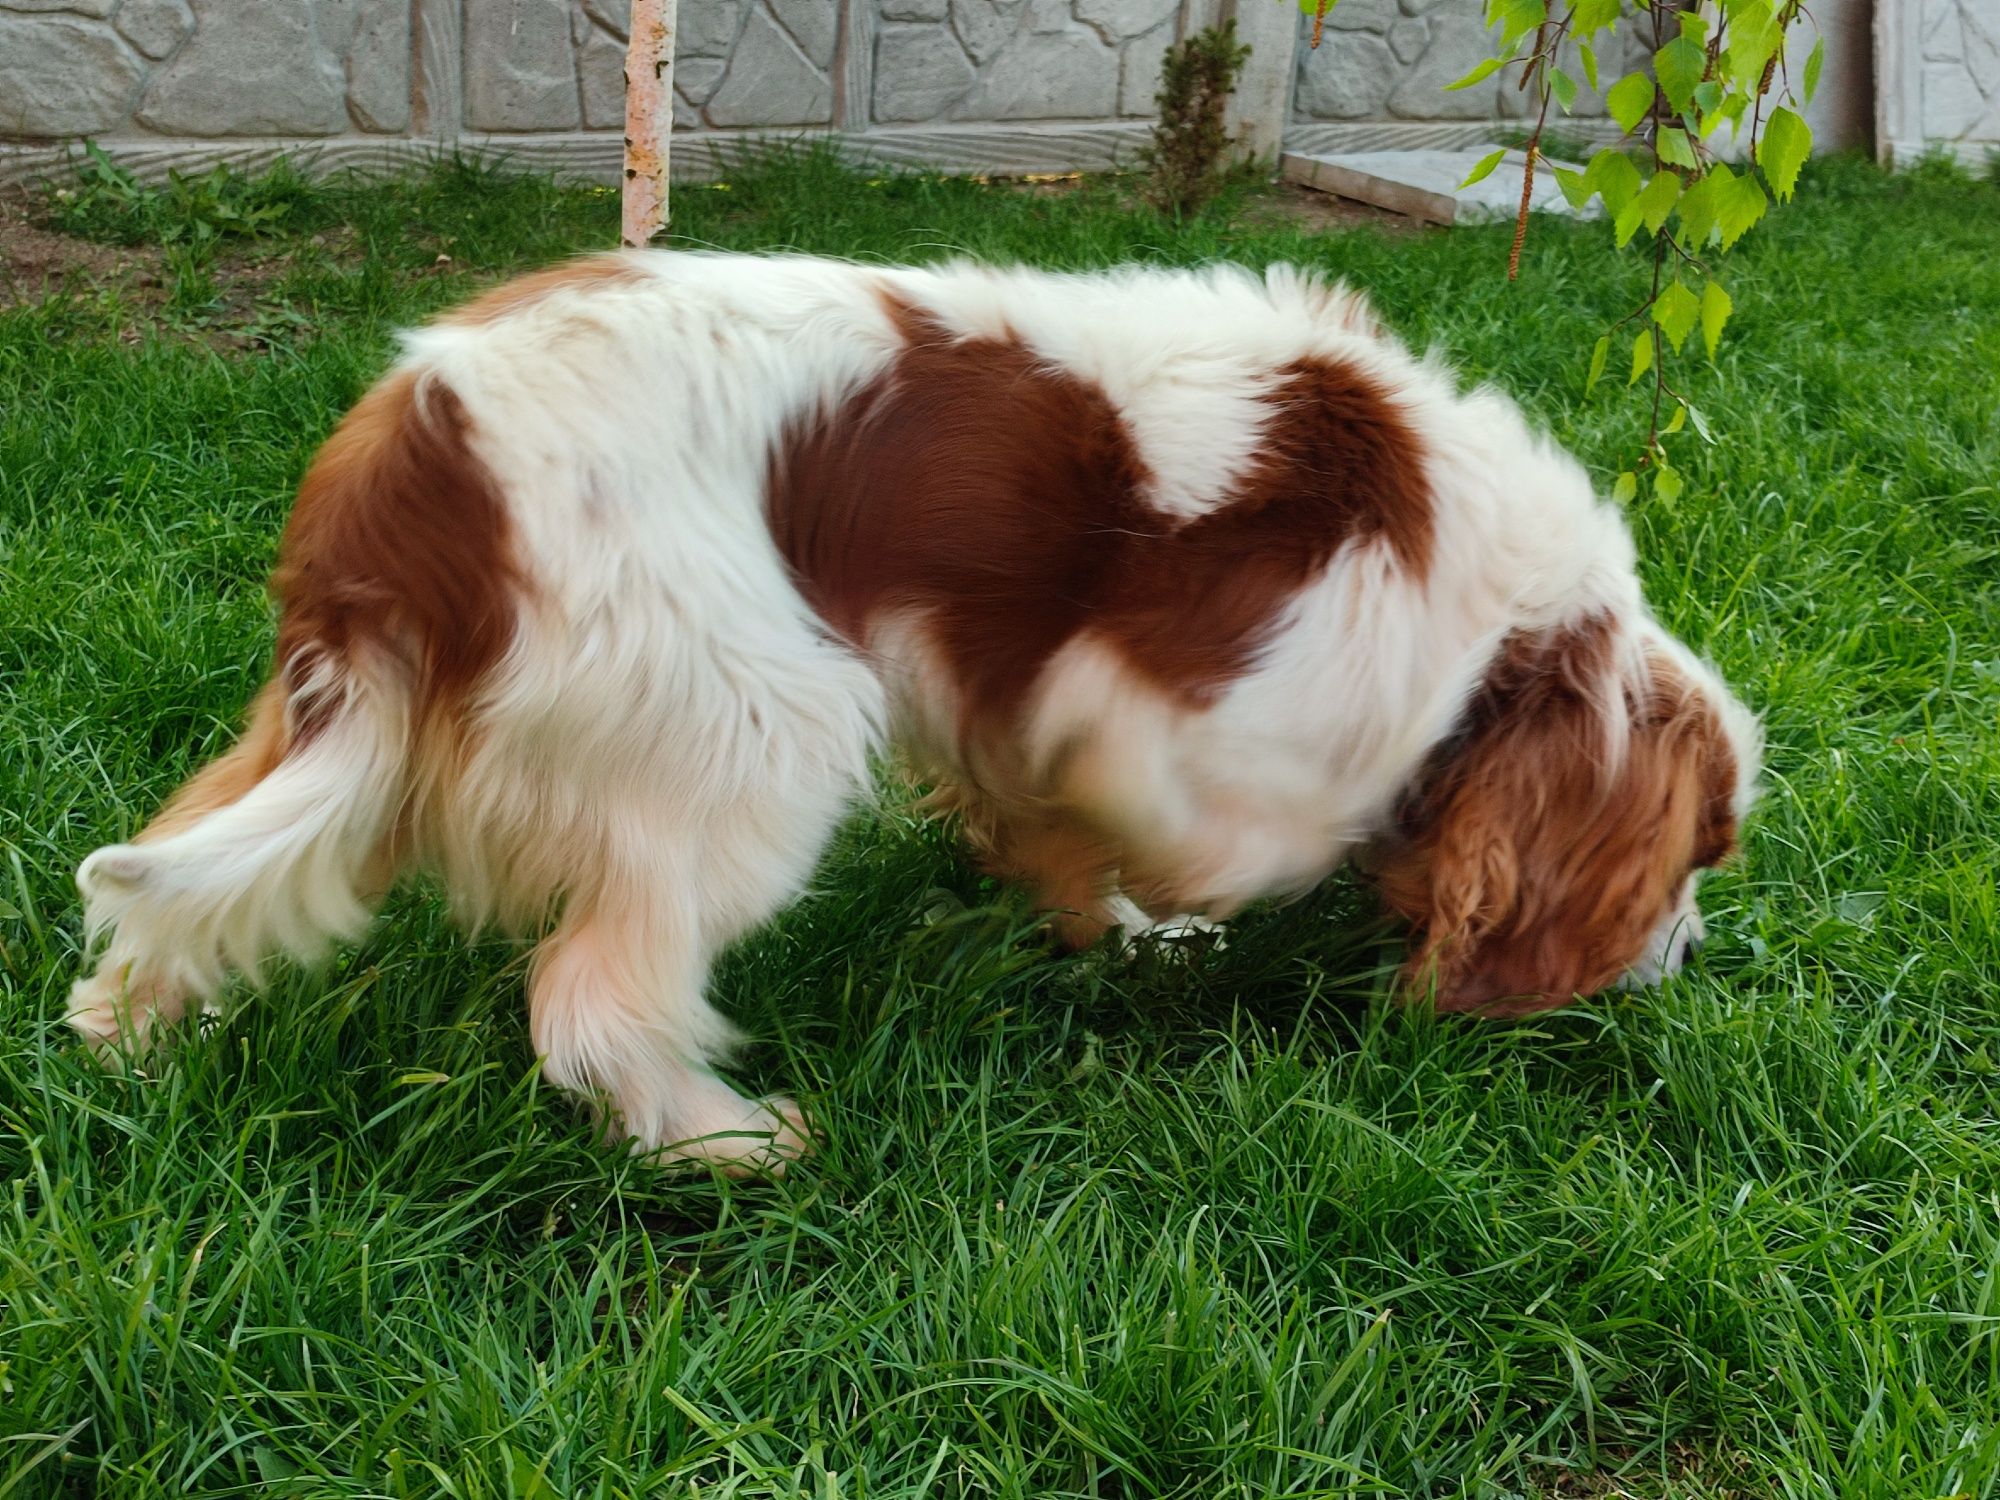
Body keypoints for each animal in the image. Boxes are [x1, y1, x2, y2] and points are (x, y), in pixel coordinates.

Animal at [66, 256, 1752, 1176]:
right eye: (1698, 860)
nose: (1686, 957)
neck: (1501, 618)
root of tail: (417, 456)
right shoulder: (1166, 707)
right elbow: (1226, 837)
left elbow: (1053, 836)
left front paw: (1106, 932)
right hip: (768, 726)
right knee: (590, 1001)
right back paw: (723, 1140)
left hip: (334, 737)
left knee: (177, 872)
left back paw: (127, 1036)